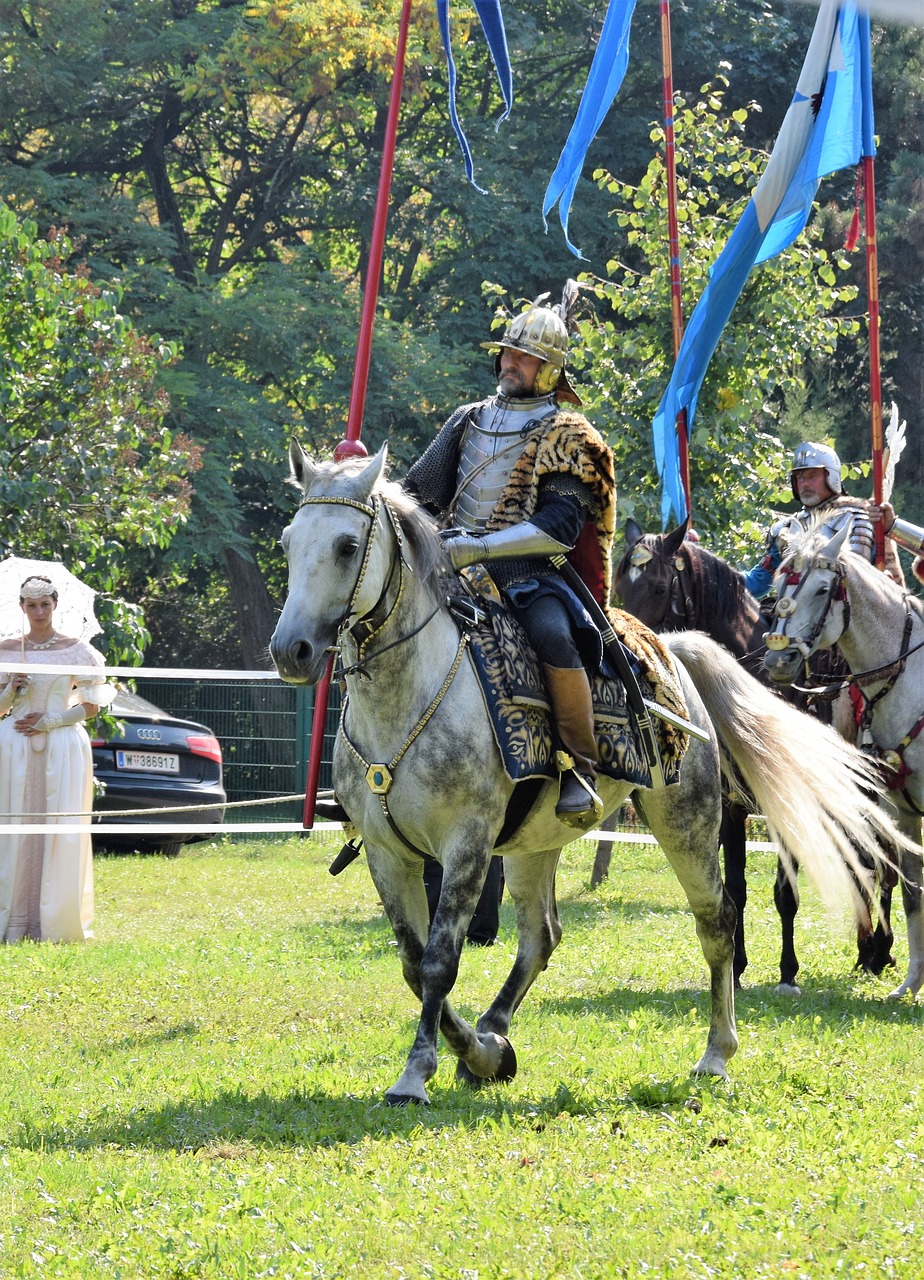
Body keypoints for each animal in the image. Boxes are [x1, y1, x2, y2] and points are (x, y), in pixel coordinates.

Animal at [611, 517, 890, 988]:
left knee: (879, 862)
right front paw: (737, 967)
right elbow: (736, 889)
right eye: (619, 585)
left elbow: (785, 893)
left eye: (659, 586)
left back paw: (879, 952)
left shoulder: (787, 805)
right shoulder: (730, 808)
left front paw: (788, 972)